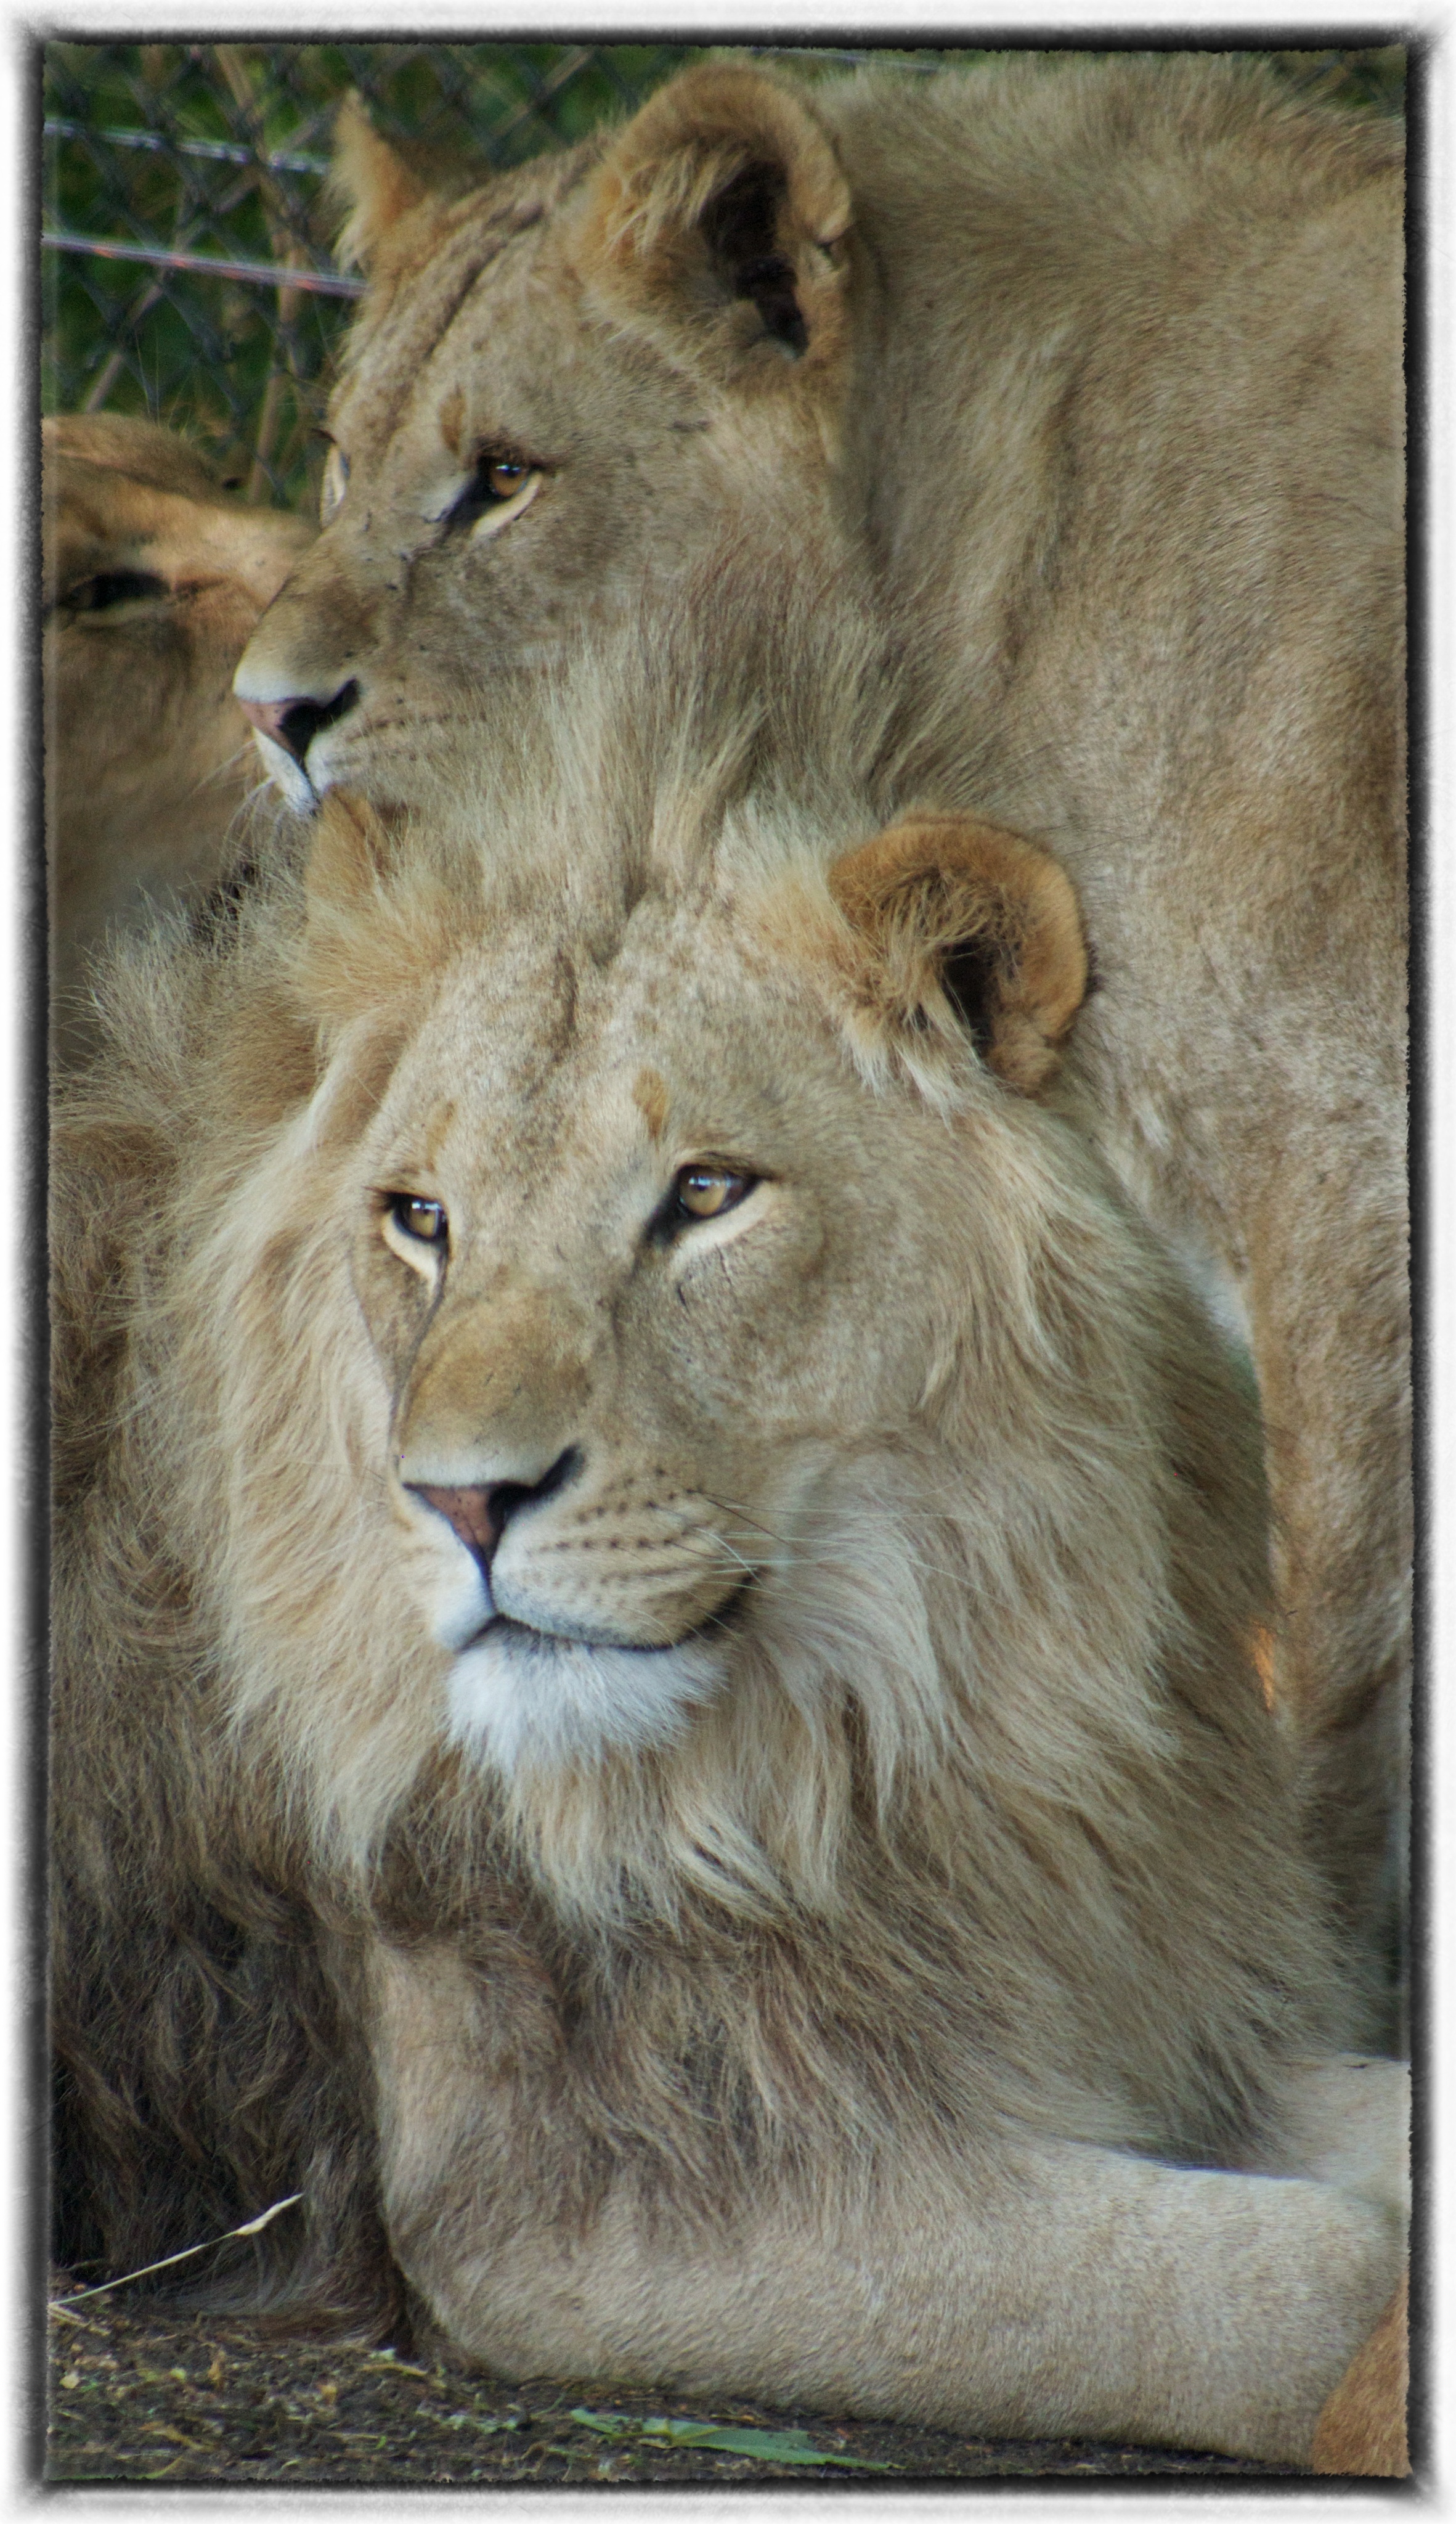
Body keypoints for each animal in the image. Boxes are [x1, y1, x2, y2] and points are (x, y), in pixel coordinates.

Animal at [59, 578, 1413, 2463]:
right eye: (420, 1218)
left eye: (704, 1194)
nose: (460, 1497)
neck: (890, 1727)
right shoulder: (583, 2215)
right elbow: (1326, 2265)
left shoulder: (1126, 1997)